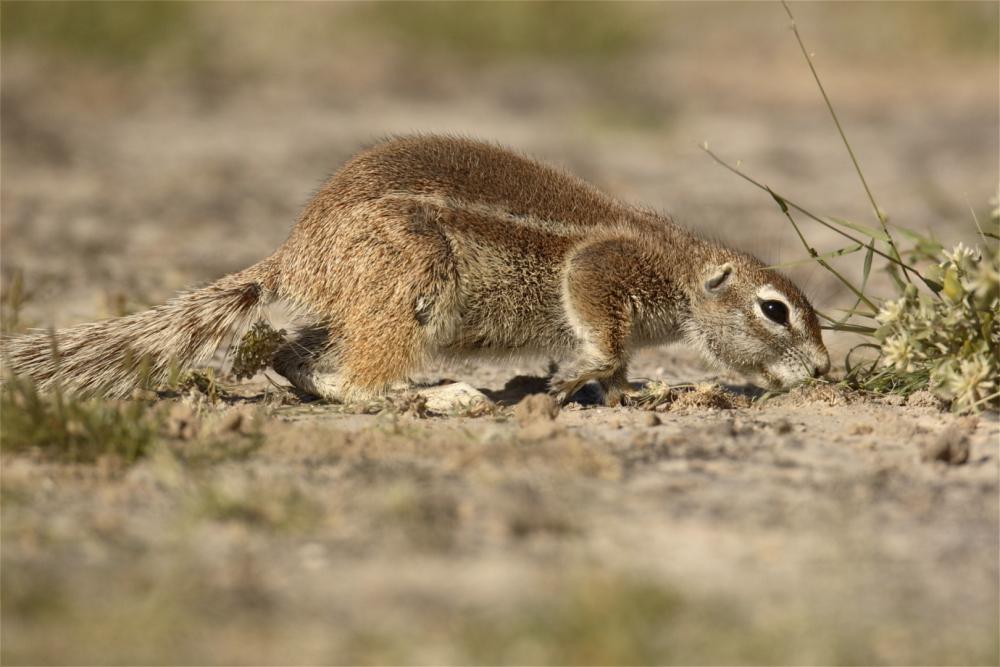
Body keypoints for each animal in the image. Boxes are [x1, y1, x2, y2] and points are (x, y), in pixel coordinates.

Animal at [0, 135, 828, 404]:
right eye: (775, 309)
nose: (823, 369)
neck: (686, 269)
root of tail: (297, 249)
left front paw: (629, 392)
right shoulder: (607, 267)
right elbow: (600, 324)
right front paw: (587, 376)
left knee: (294, 355)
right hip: (412, 281)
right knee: (357, 374)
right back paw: (433, 397)